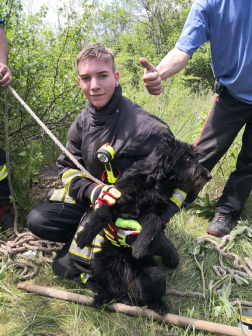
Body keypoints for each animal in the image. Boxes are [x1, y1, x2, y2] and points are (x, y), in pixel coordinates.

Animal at [76, 137, 211, 316]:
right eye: (188, 159)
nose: (209, 175)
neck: (153, 184)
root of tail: (127, 289)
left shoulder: (153, 213)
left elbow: (153, 222)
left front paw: (139, 247)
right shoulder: (116, 199)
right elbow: (103, 212)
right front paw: (84, 236)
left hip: (155, 274)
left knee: (148, 298)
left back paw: (159, 306)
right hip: (98, 264)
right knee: (110, 290)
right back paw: (102, 298)